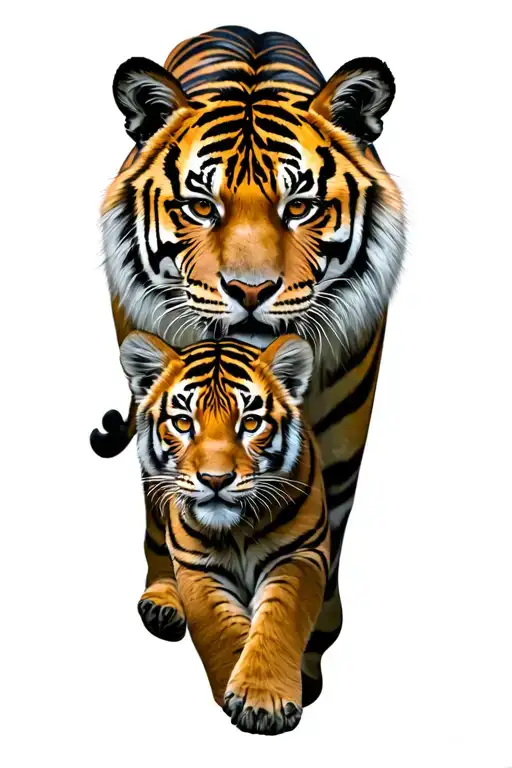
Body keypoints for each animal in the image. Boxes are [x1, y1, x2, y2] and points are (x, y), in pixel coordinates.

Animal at [119, 330, 329, 734]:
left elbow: (278, 619)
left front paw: (262, 698)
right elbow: (222, 628)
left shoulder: (300, 554)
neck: (238, 529)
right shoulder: (196, 566)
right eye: (183, 423)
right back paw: (161, 605)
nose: (215, 480)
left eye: (250, 423)